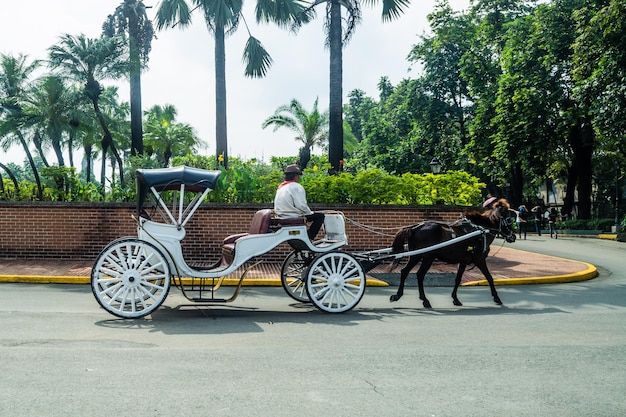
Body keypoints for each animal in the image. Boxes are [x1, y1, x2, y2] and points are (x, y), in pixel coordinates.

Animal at [388, 197, 516, 308]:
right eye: (509, 220)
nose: (513, 236)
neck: (480, 231)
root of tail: (415, 227)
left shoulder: (463, 261)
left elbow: (458, 279)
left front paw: (455, 299)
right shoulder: (479, 260)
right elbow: (489, 277)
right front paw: (497, 298)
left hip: (416, 256)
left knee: (405, 271)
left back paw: (398, 295)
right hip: (428, 257)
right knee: (419, 274)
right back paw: (424, 300)